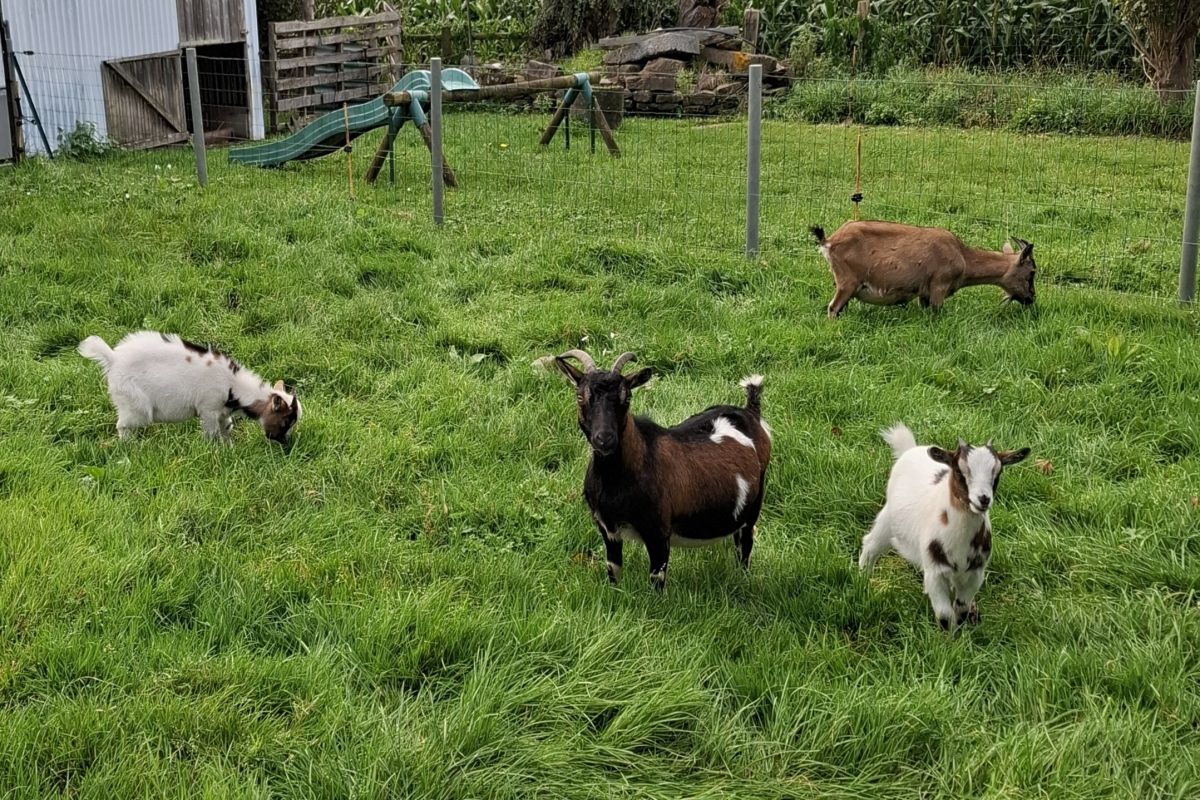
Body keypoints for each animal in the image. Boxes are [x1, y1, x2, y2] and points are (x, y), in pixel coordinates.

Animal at [79, 331, 300, 443]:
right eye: (285, 422)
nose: (285, 443)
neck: (232, 385)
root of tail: (113, 358)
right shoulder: (208, 408)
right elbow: (212, 433)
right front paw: (215, 451)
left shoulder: (222, 412)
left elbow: (226, 428)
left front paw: (229, 448)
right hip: (134, 405)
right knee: (123, 426)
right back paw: (130, 447)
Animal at [549, 350, 768, 594]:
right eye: (580, 397)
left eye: (627, 398)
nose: (604, 439)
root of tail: (750, 412)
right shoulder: (608, 529)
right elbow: (613, 570)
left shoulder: (658, 532)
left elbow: (656, 578)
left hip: (754, 505)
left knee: (745, 545)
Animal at [811, 221, 1036, 319]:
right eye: (1032, 272)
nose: (1031, 299)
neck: (963, 256)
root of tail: (829, 242)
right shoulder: (939, 285)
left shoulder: (924, 293)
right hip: (847, 281)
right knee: (833, 307)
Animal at [854, 422, 1032, 633]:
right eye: (960, 471)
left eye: (997, 473)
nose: (983, 499)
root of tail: (910, 449)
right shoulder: (935, 572)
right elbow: (945, 615)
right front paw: (947, 640)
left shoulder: (975, 574)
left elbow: (961, 609)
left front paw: (961, 637)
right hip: (888, 519)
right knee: (871, 545)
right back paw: (863, 579)